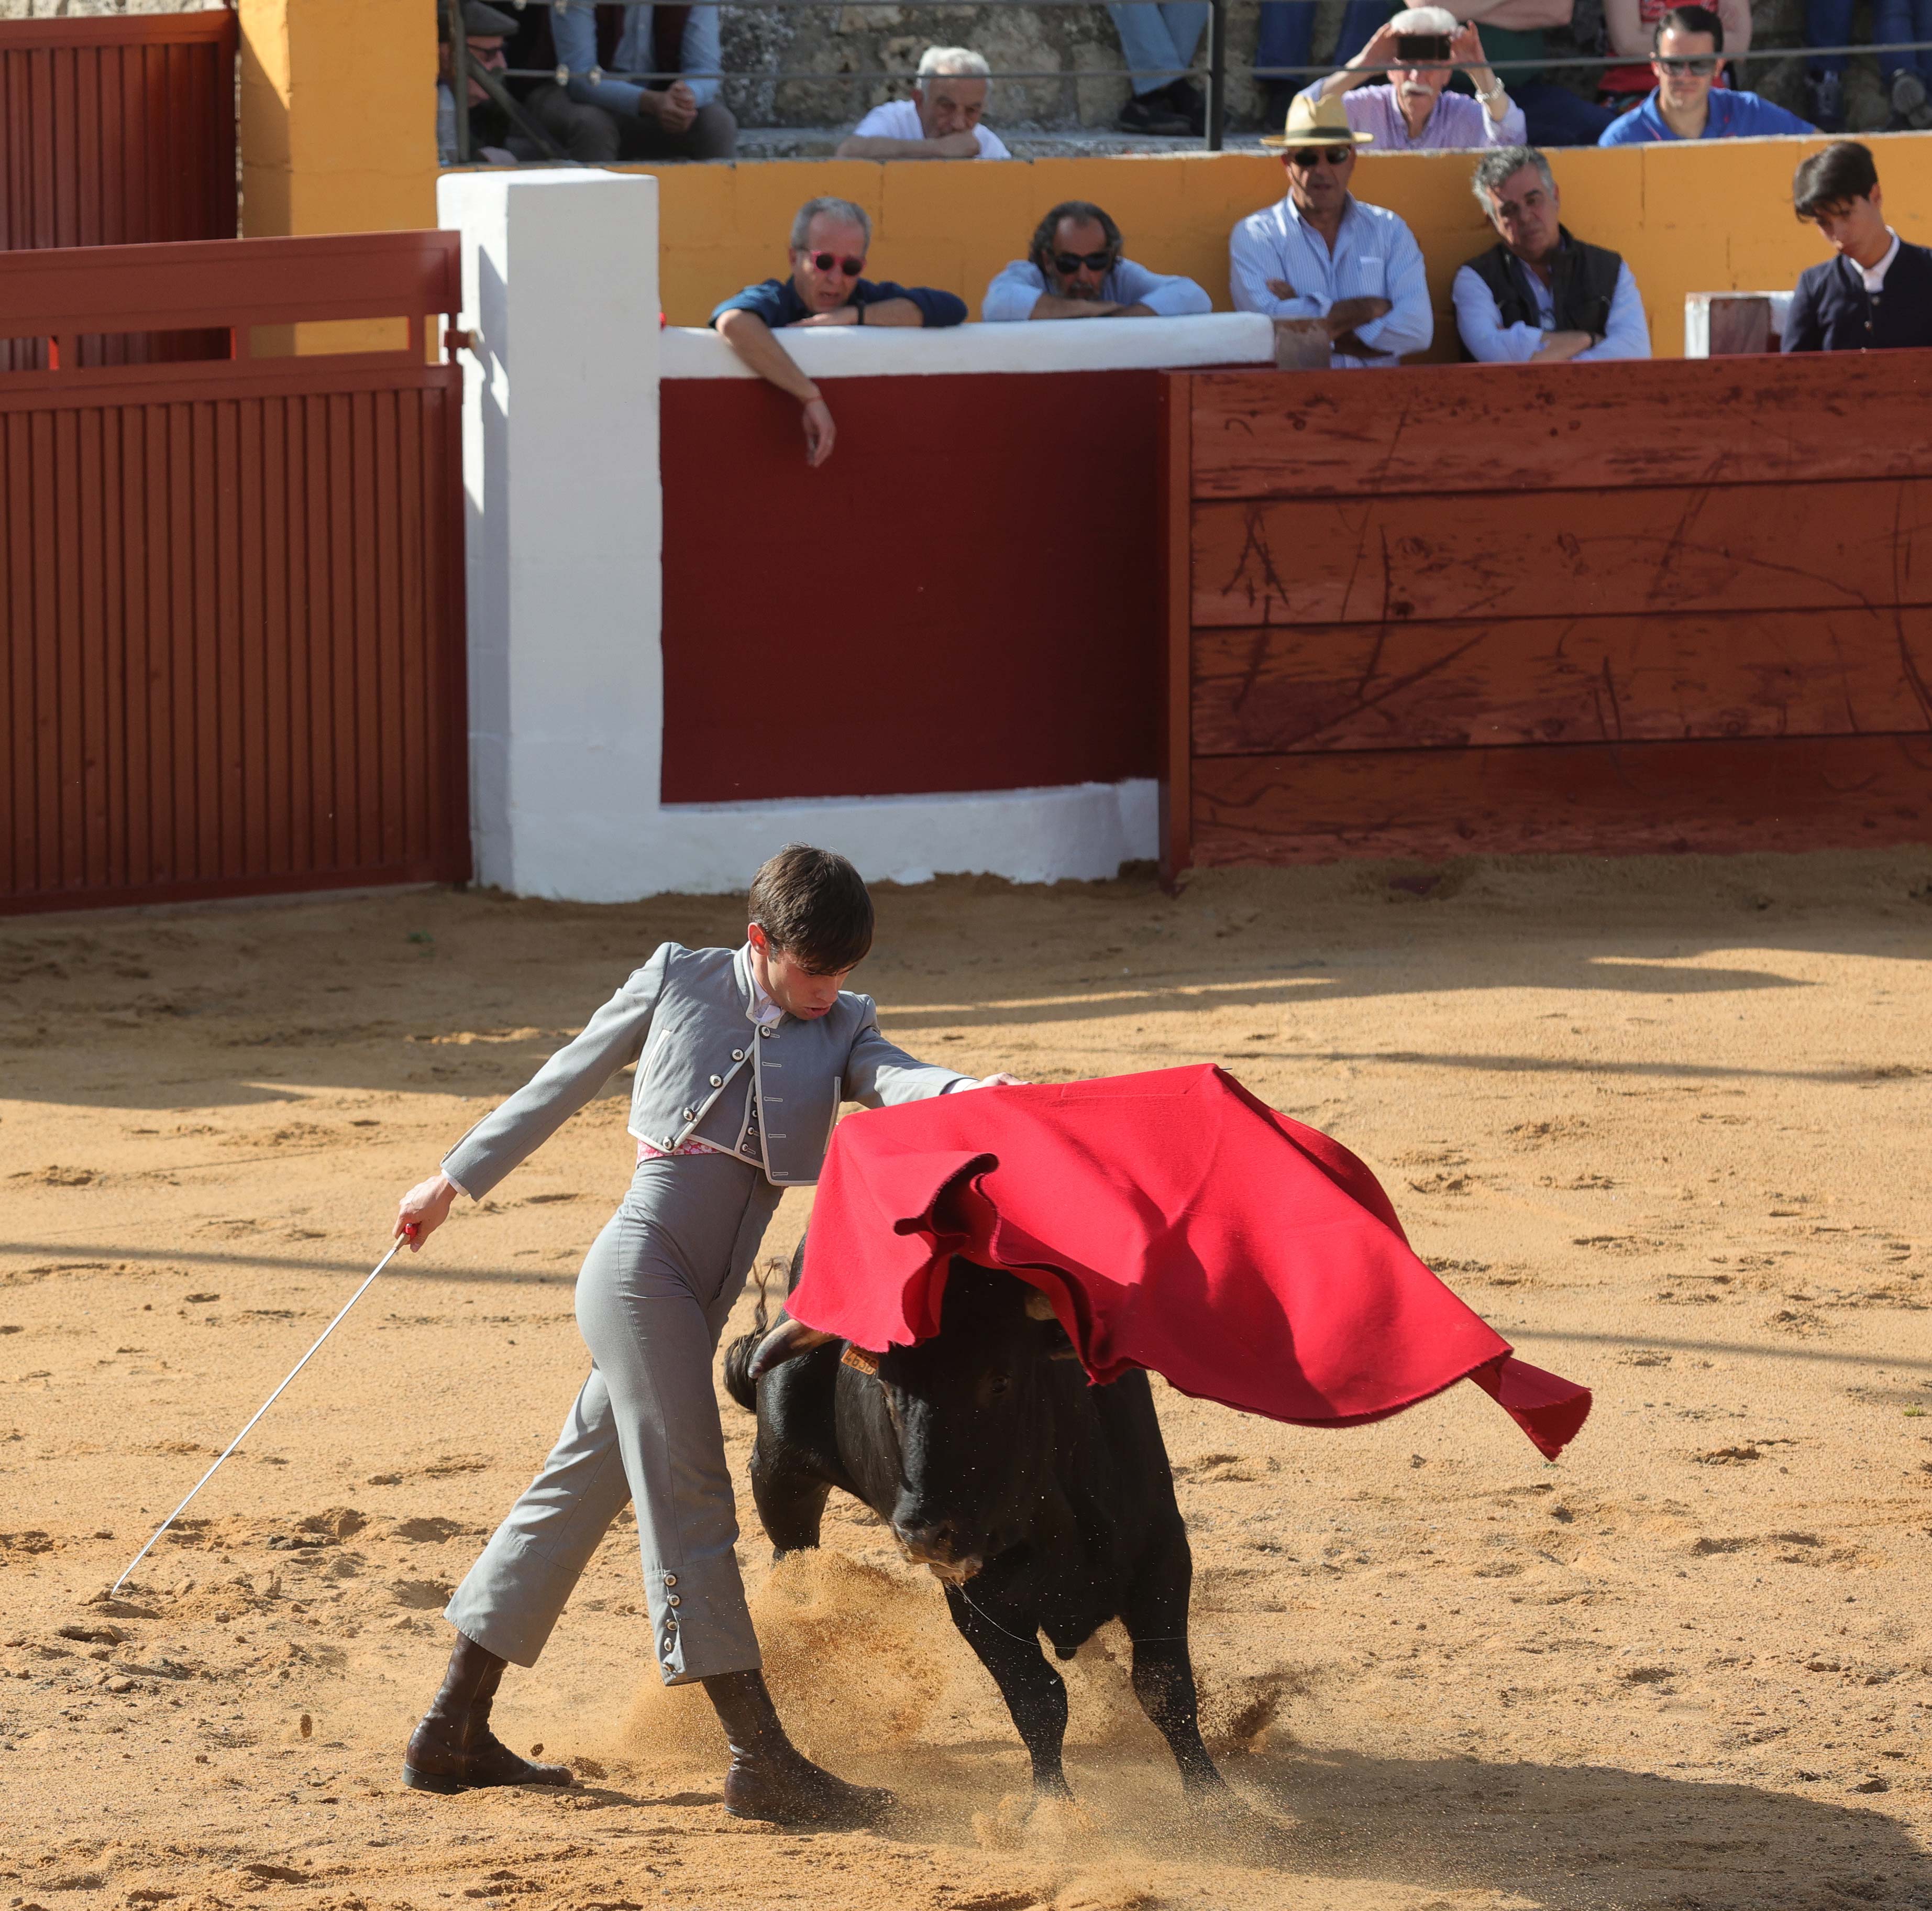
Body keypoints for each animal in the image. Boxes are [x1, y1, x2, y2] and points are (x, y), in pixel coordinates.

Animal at [719, 1244, 1229, 1800]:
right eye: (885, 1387)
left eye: (999, 1380)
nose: (920, 1533)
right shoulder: (977, 1597)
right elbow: (1038, 1699)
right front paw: (1054, 1809)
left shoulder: (1163, 1559)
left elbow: (1165, 1687)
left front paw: (1214, 1799)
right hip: (778, 1476)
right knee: (792, 1554)